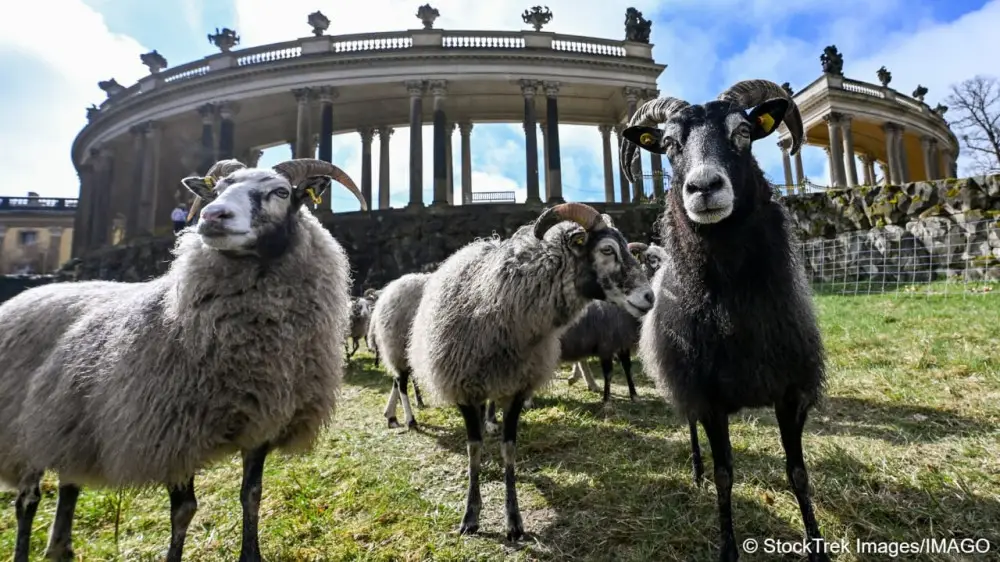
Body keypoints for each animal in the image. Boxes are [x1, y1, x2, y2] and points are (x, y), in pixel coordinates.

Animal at [0, 157, 367, 562]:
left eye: (281, 192)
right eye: (216, 189)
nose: (212, 215)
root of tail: (29, 293)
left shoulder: (262, 422)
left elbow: (251, 495)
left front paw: (251, 555)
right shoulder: (171, 431)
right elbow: (184, 510)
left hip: (67, 426)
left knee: (69, 483)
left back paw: (60, 548)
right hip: (22, 429)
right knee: (27, 501)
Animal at [407, 202, 654, 540]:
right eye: (607, 250)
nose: (649, 297)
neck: (496, 303)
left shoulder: (518, 388)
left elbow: (509, 449)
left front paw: (514, 520)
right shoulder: (463, 389)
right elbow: (473, 450)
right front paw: (471, 515)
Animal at [620, 79, 828, 561]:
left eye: (743, 132)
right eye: (669, 145)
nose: (703, 187)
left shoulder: (791, 392)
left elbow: (798, 473)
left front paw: (817, 546)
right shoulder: (708, 396)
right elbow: (724, 475)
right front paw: (728, 547)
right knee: (692, 430)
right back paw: (695, 471)